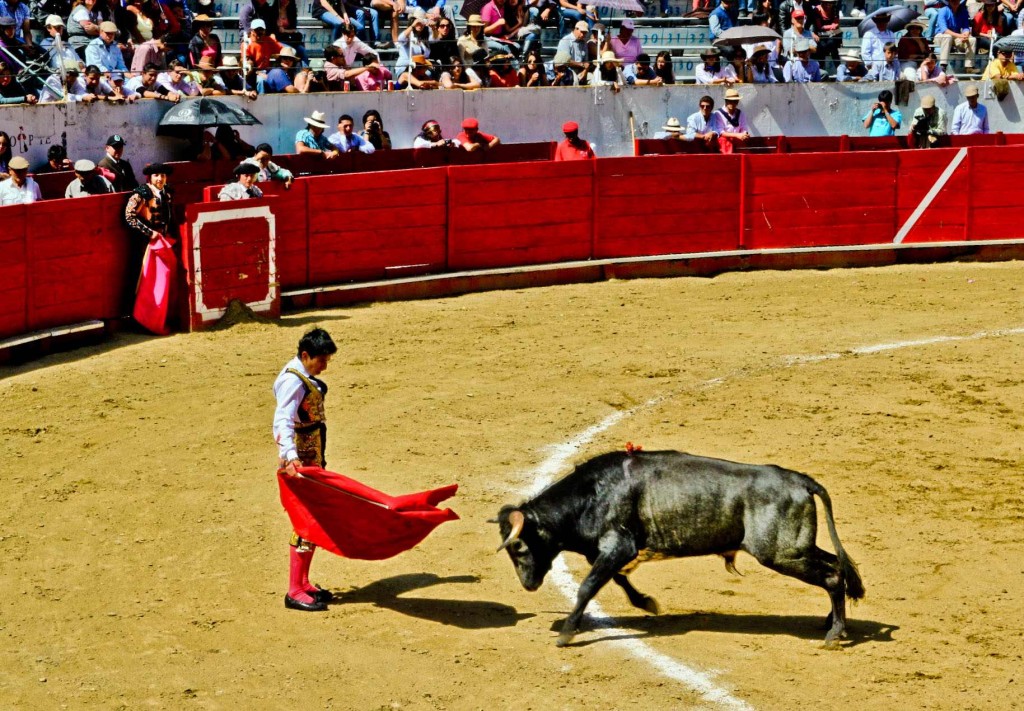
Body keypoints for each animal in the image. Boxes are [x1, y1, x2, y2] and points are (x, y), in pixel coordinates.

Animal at [495, 454, 864, 647]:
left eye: (518, 546)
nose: (529, 585)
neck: (590, 495)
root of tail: (800, 480)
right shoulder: (616, 553)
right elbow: (618, 580)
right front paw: (646, 603)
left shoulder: (617, 546)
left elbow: (588, 586)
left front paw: (566, 634)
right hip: (798, 548)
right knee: (838, 566)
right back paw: (833, 623)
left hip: (781, 553)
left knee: (832, 576)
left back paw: (834, 634)